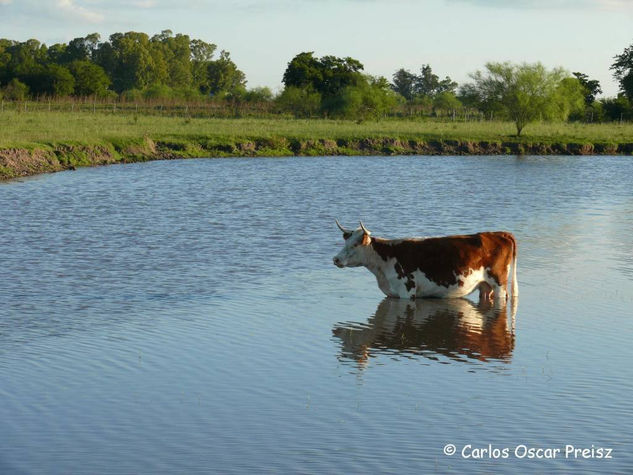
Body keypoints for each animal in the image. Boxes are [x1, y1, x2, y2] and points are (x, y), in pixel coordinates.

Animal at [334, 221, 516, 306]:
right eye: (346, 242)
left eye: (355, 245)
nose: (335, 259)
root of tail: (500, 233)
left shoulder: (407, 291)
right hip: (485, 286)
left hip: (499, 283)